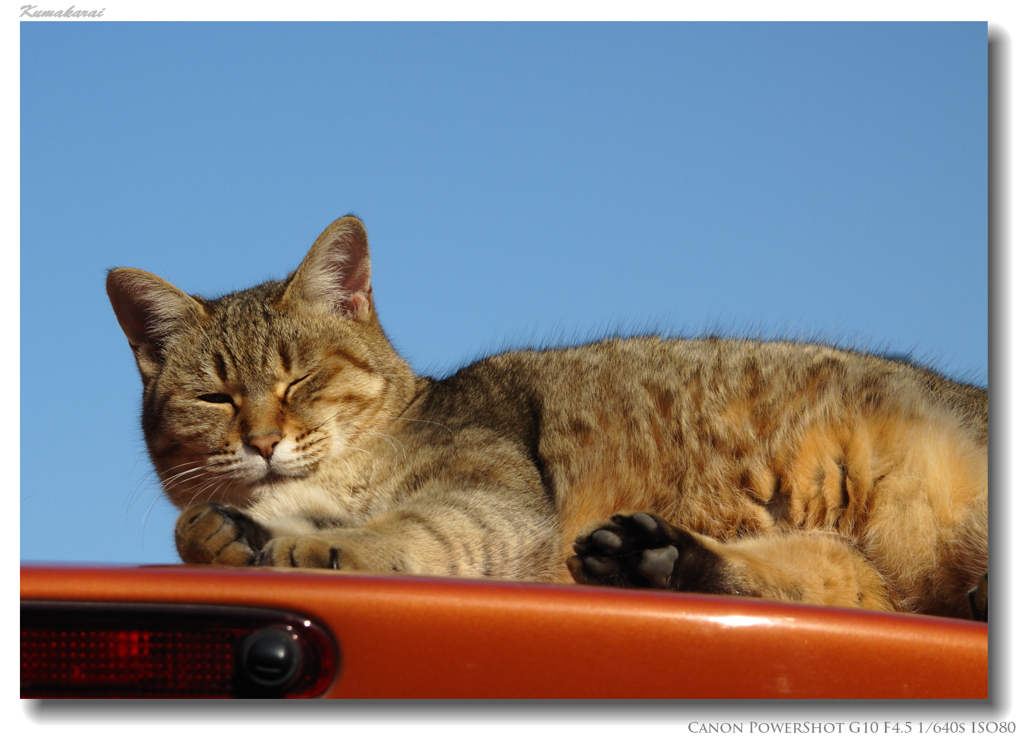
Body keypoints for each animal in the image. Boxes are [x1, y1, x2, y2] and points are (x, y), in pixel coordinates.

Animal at [105, 215, 983, 618]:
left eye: (299, 380)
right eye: (215, 397)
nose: (261, 440)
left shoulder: (488, 501)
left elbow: (399, 532)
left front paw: (308, 545)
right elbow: (215, 522)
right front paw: (231, 530)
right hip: (847, 563)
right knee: (820, 579)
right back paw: (655, 557)